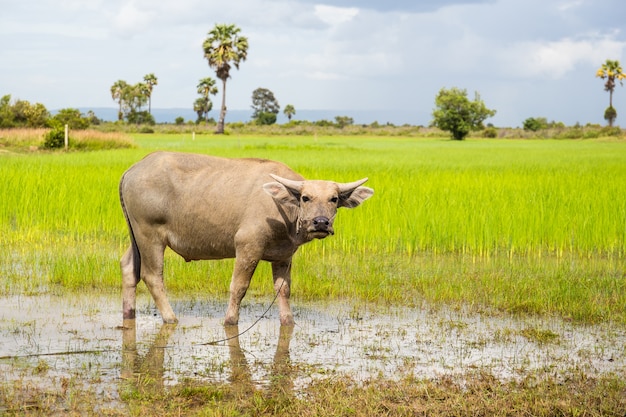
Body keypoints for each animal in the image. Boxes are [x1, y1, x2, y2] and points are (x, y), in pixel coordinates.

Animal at [118, 151, 370, 326]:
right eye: (306, 197)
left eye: (334, 199)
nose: (320, 222)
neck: (280, 206)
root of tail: (132, 170)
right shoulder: (247, 247)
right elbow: (239, 286)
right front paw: (230, 320)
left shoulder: (284, 257)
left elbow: (283, 290)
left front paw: (288, 321)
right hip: (150, 236)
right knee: (152, 276)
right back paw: (171, 318)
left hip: (135, 235)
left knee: (129, 267)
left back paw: (129, 314)